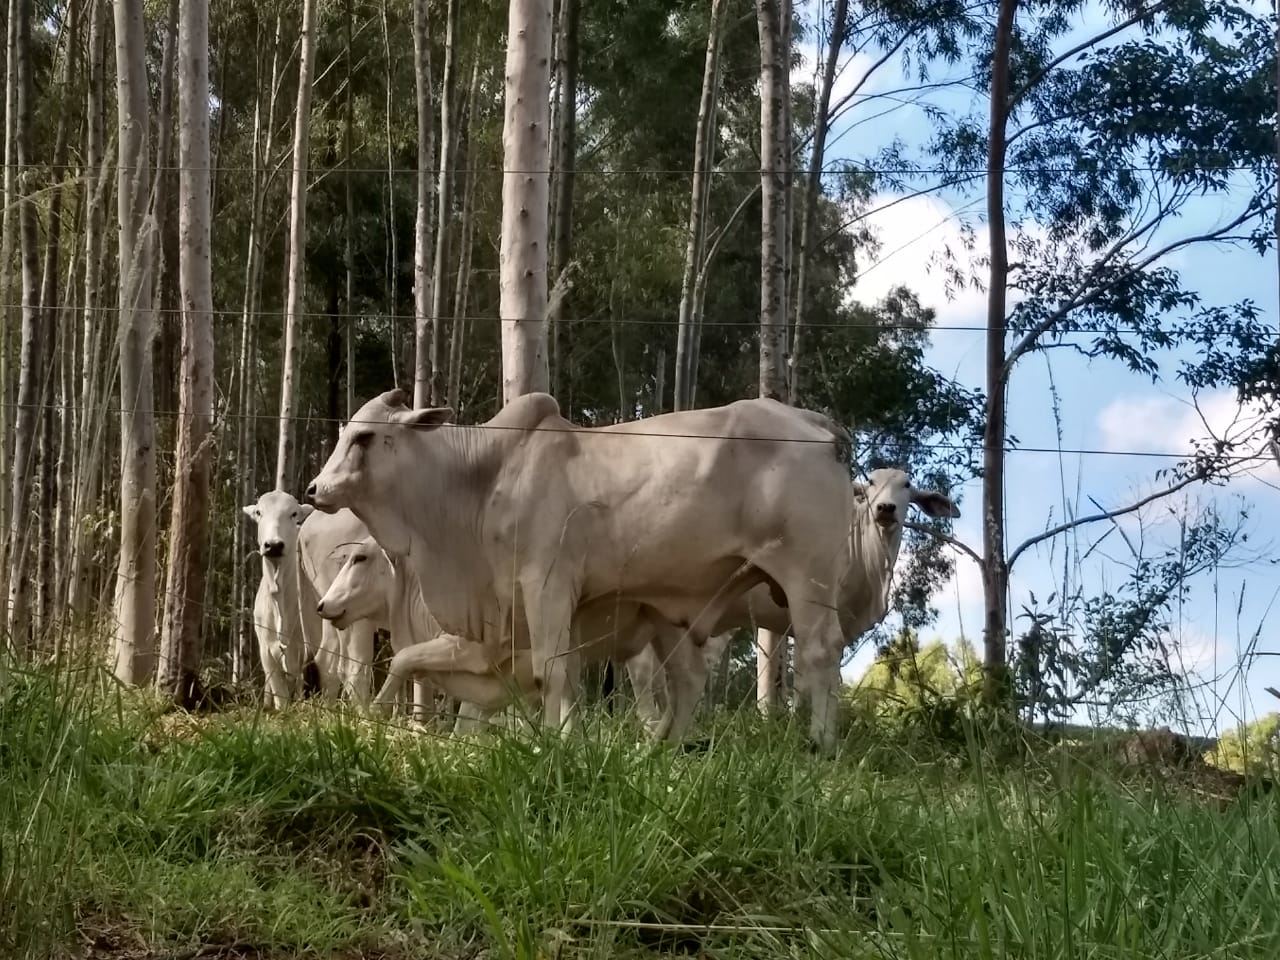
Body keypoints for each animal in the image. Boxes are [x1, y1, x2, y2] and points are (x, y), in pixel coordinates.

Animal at [304, 391, 957, 752]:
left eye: (364, 438)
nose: (313, 489)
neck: (483, 479)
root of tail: (816, 427)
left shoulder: (547, 582)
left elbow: (552, 673)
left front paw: (559, 741)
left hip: (806, 580)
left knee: (820, 659)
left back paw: (819, 744)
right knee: (691, 684)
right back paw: (657, 751)